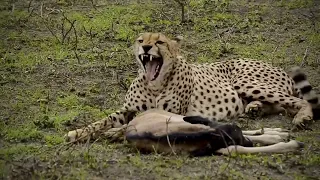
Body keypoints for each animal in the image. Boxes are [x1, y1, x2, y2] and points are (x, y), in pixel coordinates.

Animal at [65, 32, 318, 142]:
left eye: (159, 42)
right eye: (141, 40)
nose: (146, 48)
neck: (155, 84)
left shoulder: (170, 114)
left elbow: (129, 126)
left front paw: (112, 133)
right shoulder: (128, 110)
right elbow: (102, 121)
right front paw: (77, 132)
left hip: (245, 81)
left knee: (297, 101)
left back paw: (302, 117)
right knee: (278, 105)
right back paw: (255, 108)